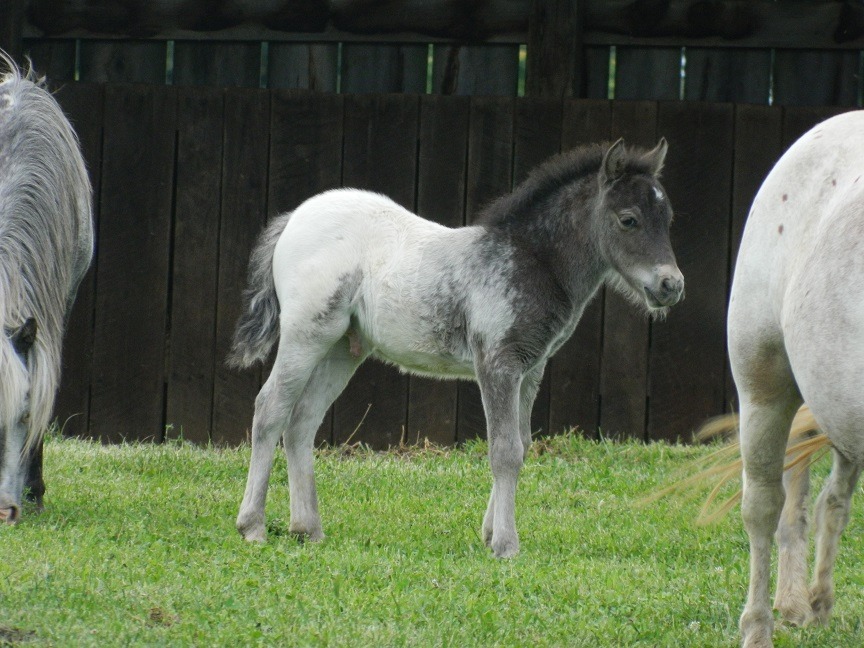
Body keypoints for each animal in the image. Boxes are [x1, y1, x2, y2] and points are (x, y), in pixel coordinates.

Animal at [228, 139, 680, 560]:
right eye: (628, 220)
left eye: (669, 218)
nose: (671, 285)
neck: (528, 260)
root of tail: (293, 218)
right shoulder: (497, 364)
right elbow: (504, 450)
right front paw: (506, 545)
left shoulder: (530, 370)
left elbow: (522, 443)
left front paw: (489, 533)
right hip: (306, 335)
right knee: (270, 408)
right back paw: (253, 526)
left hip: (343, 348)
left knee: (302, 421)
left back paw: (308, 529)